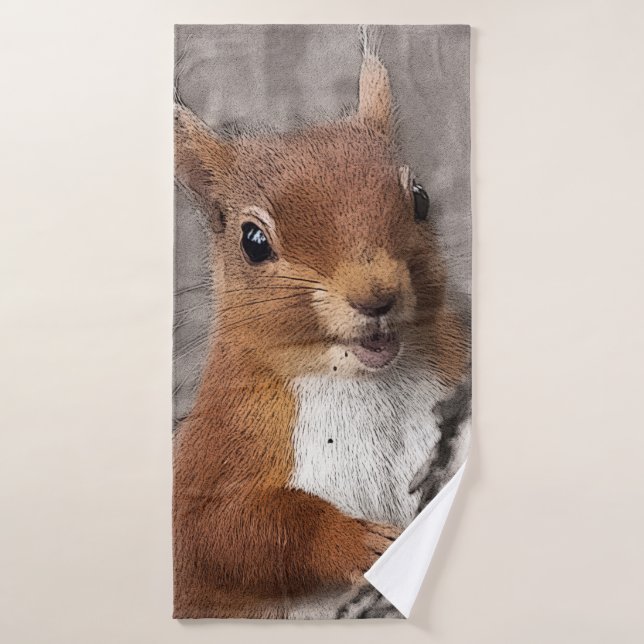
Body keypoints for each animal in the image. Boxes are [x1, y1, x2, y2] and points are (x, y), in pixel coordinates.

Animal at [173, 31, 470, 619]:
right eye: (252, 241)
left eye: (420, 198)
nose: (375, 295)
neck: (364, 383)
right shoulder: (215, 448)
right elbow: (218, 532)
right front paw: (355, 542)